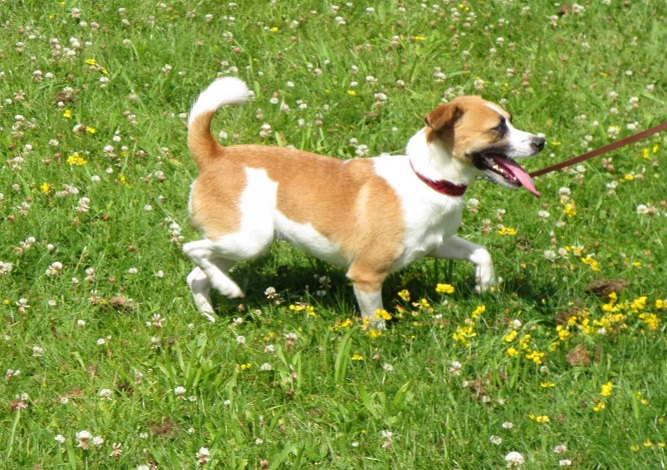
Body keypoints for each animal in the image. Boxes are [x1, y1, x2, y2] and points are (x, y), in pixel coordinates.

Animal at [183, 77, 544, 326]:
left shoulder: (438, 242)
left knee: (196, 277)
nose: (540, 141)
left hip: (238, 244)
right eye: (498, 128)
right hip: (249, 241)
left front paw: (486, 285)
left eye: (510, 119)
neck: (426, 179)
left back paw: (210, 313)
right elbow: (375, 321)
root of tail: (215, 155)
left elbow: (481, 252)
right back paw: (227, 288)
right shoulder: (367, 275)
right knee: (192, 249)